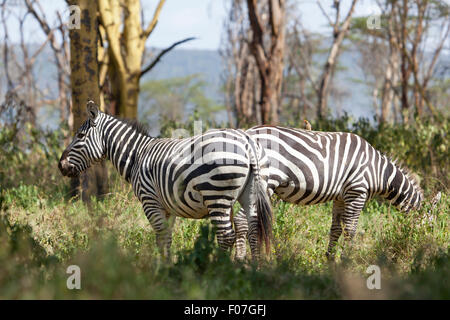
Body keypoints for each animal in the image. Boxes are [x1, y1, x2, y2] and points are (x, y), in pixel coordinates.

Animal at [58, 101, 272, 262]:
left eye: (80, 136)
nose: (60, 165)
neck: (137, 155)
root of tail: (246, 142)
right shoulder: (169, 207)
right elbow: (167, 238)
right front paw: (169, 267)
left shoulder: (150, 201)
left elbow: (160, 237)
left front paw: (161, 271)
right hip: (251, 194)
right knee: (254, 230)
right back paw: (255, 269)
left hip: (216, 195)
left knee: (226, 236)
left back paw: (219, 270)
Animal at [234, 125, 428, 260]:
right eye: (426, 225)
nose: (422, 248)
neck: (380, 172)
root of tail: (247, 133)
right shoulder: (357, 192)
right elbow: (350, 229)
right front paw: (346, 260)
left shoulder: (341, 197)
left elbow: (336, 229)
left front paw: (330, 259)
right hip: (264, 183)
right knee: (244, 220)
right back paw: (250, 260)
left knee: (240, 219)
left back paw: (240, 260)